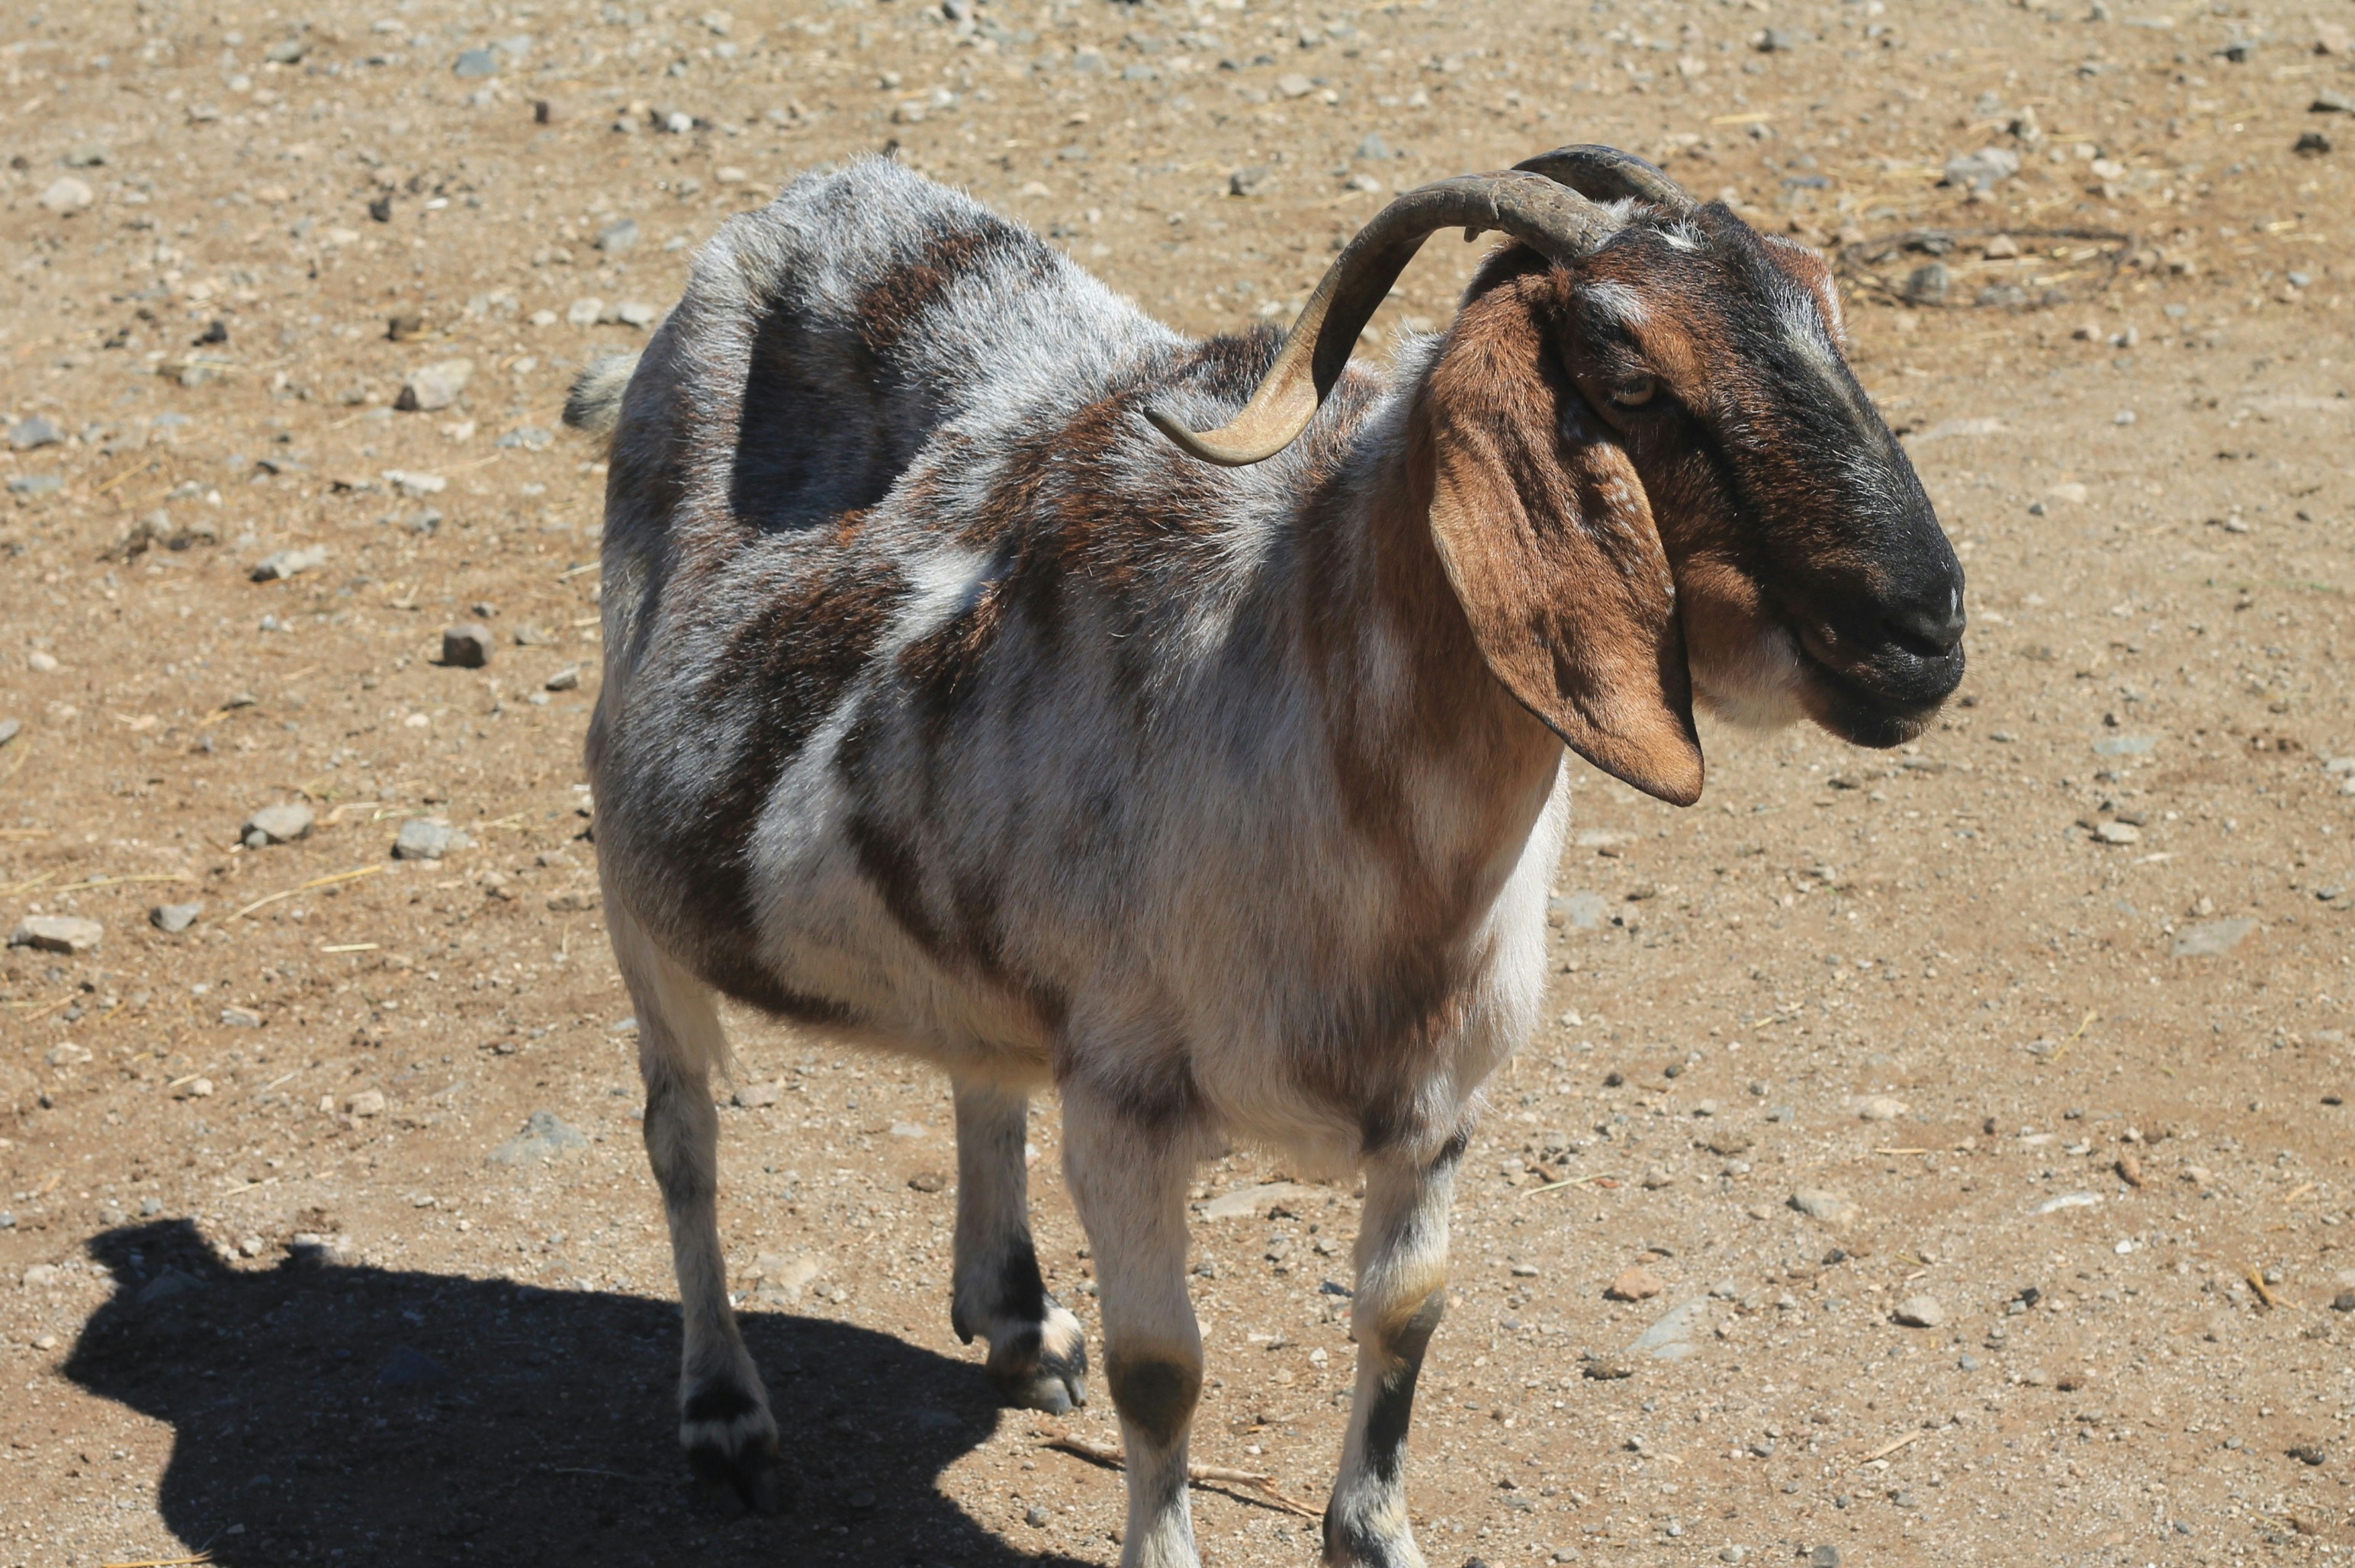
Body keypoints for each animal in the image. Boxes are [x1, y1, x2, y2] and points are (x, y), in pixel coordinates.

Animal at [564, 146, 1963, 1568]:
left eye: (1824, 298)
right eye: (1628, 376)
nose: (1925, 632)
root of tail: (818, 200)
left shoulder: (1439, 1103)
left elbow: (1407, 1313)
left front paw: (1376, 1535)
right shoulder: (1124, 1106)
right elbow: (1161, 1373)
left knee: (980, 1071)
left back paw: (1016, 1324)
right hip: (634, 891)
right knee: (682, 1139)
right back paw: (727, 1415)